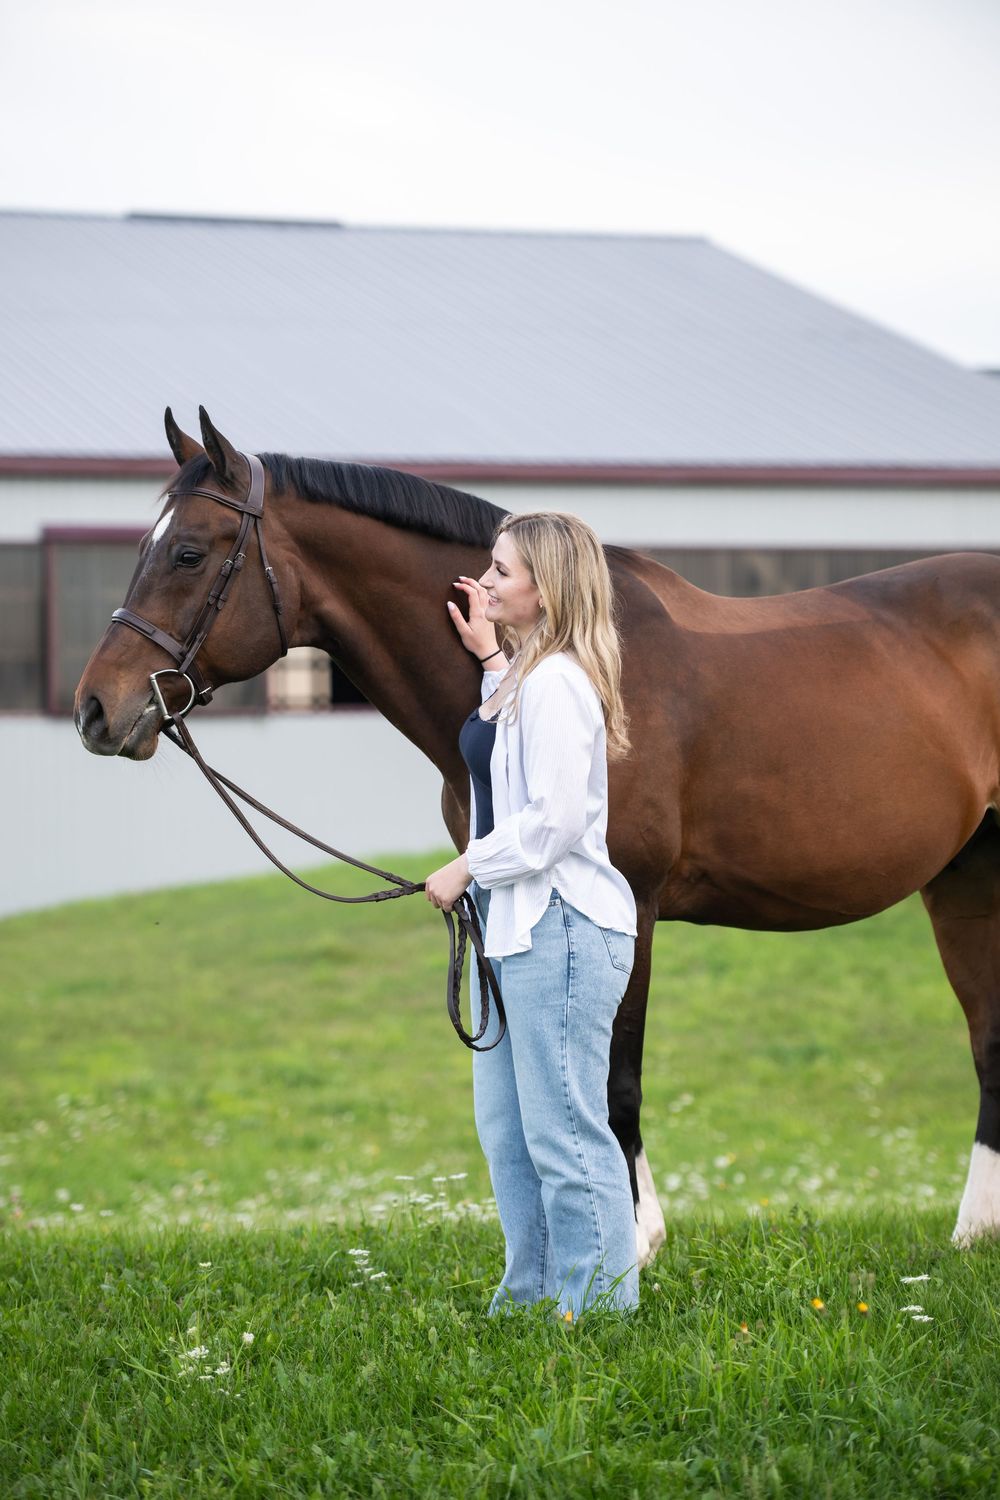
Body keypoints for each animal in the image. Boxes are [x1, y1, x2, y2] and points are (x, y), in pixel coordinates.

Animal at [75, 406, 1000, 1256]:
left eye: (188, 554)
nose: (96, 709)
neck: (580, 661)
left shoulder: (629, 904)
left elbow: (612, 1075)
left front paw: (633, 1243)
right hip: (964, 877)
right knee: (989, 1039)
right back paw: (974, 1233)